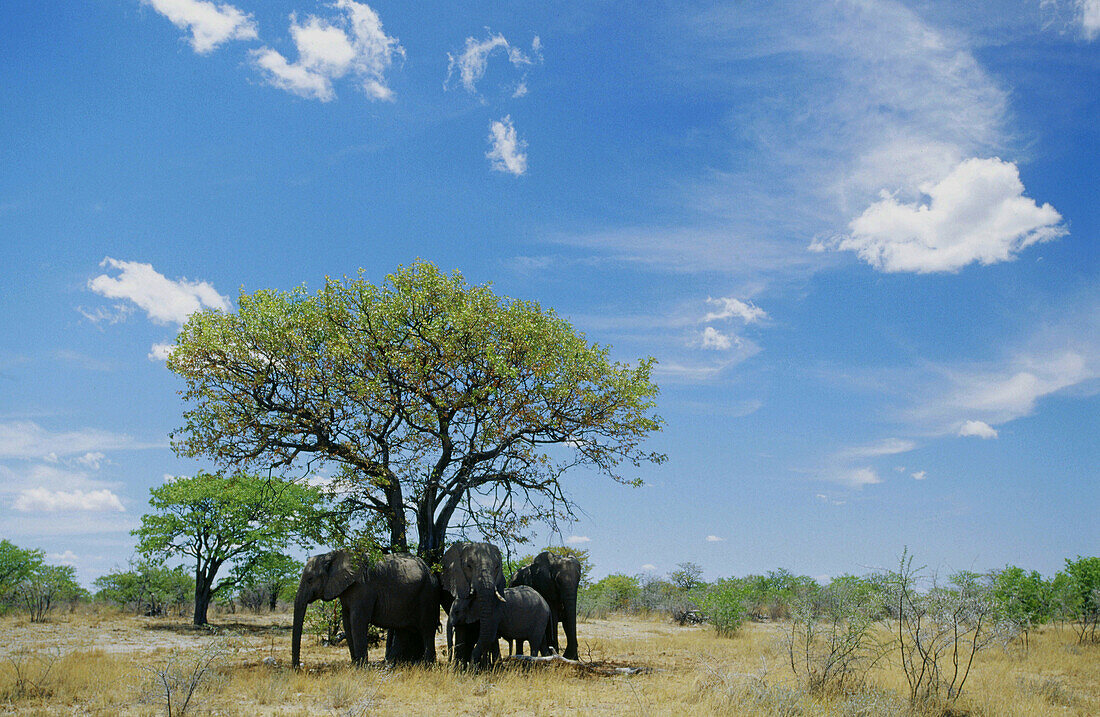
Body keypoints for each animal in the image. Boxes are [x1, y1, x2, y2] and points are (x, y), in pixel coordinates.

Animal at [292, 552, 437, 668]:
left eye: (310, 579)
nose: (298, 668)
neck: (332, 555)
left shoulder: (363, 588)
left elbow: (358, 621)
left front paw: (361, 668)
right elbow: (347, 623)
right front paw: (355, 664)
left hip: (427, 593)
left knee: (427, 630)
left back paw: (428, 666)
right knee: (404, 632)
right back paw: (391, 664)